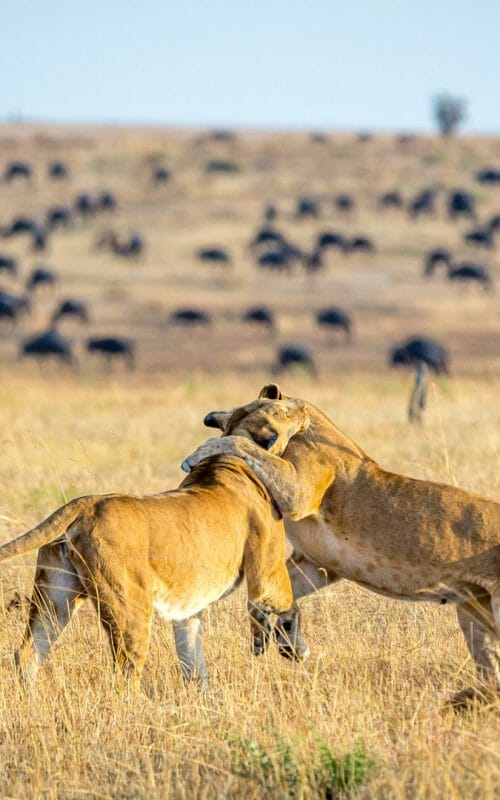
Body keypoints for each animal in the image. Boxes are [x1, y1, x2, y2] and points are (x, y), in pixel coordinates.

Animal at [0, 398, 309, 691]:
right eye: (283, 409)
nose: (304, 408)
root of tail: (85, 504)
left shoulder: (188, 609)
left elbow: (192, 658)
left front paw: (202, 697)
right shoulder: (267, 573)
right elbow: (289, 605)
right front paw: (295, 649)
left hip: (56, 595)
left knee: (28, 653)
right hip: (129, 606)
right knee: (125, 672)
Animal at [182, 384, 500, 707]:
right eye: (285, 411)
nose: (302, 412)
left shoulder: (299, 491)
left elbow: (241, 444)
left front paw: (199, 452)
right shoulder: (319, 564)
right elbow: (278, 594)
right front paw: (285, 640)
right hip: (474, 610)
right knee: (492, 676)